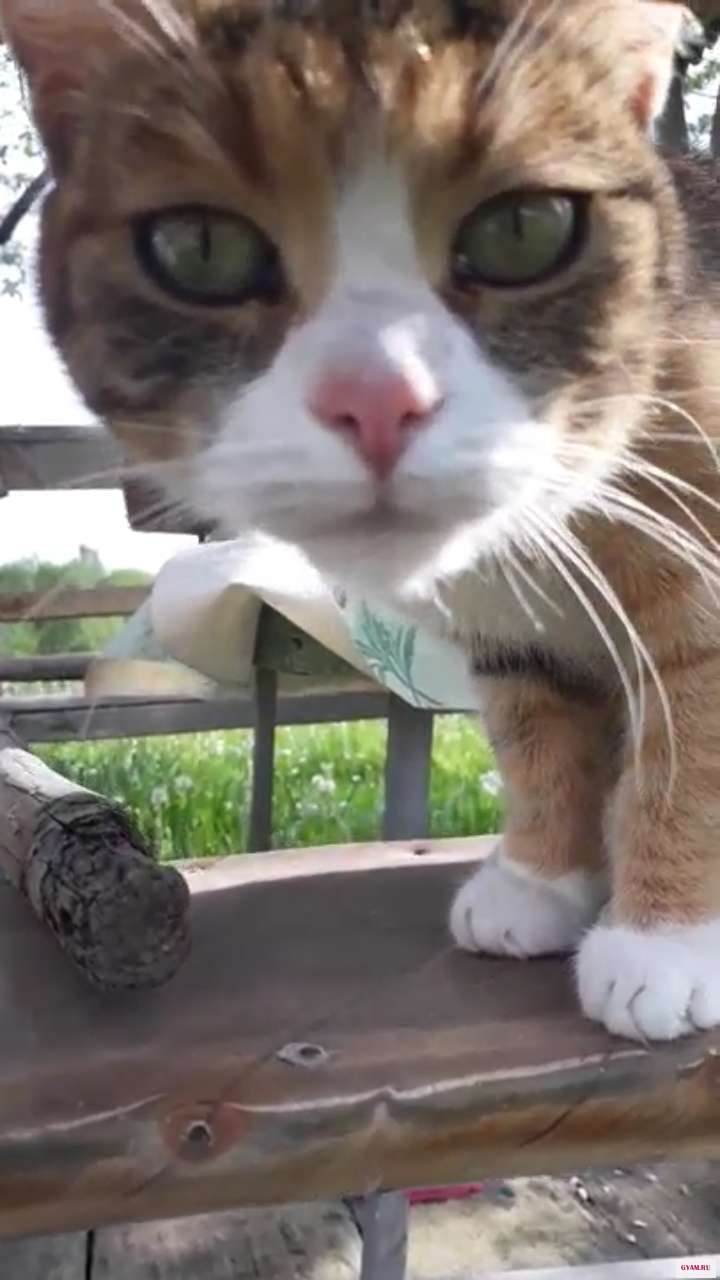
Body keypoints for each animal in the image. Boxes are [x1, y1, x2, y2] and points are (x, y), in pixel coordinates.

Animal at [5, 0, 720, 1042]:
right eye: (201, 248)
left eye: (522, 228)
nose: (377, 399)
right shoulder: (511, 636)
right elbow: (538, 735)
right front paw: (539, 880)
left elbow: (690, 743)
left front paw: (666, 943)